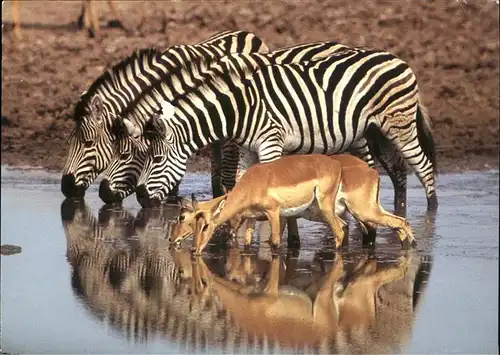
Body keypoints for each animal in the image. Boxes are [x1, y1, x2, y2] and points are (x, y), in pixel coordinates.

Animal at [133, 47, 438, 217]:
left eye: (156, 160)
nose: (140, 198)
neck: (239, 109)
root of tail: (396, 58)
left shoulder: (270, 142)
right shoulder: (249, 149)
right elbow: (244, 184)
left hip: (400, 126)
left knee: (423, 166)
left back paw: (431, 213)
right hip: (378, 132)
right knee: (398, 170)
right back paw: (398, 209)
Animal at [172, 154, 414, 254]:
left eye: (204, 225)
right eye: (193, 223)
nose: (193, 249)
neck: (251, 184)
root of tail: (372, 172)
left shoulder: (274, 214)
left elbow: (275, 243)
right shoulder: (252, 219)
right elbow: (249, 244)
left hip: (352, 211)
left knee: (343, 231)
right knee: (400, 222)